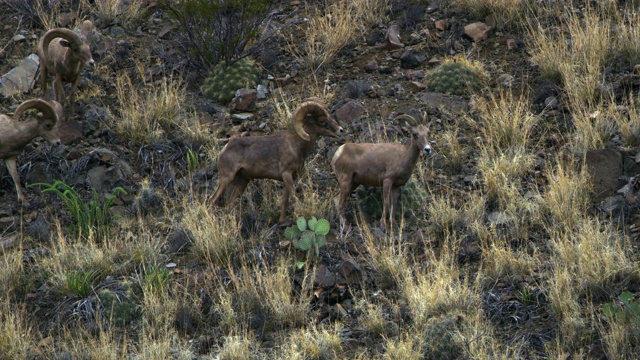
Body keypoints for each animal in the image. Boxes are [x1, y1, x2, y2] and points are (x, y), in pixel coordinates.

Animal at [212, 100, 344, 225]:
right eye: (322, 120)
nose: (341, 130)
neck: (296, 144)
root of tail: (222, 152)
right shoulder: (286, 174)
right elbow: (294, 196)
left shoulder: (289, 178)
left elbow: (284, 201)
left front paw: (283, 222)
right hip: (226, 178)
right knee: (213, 200)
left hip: (242, 181)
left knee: (229, 205)